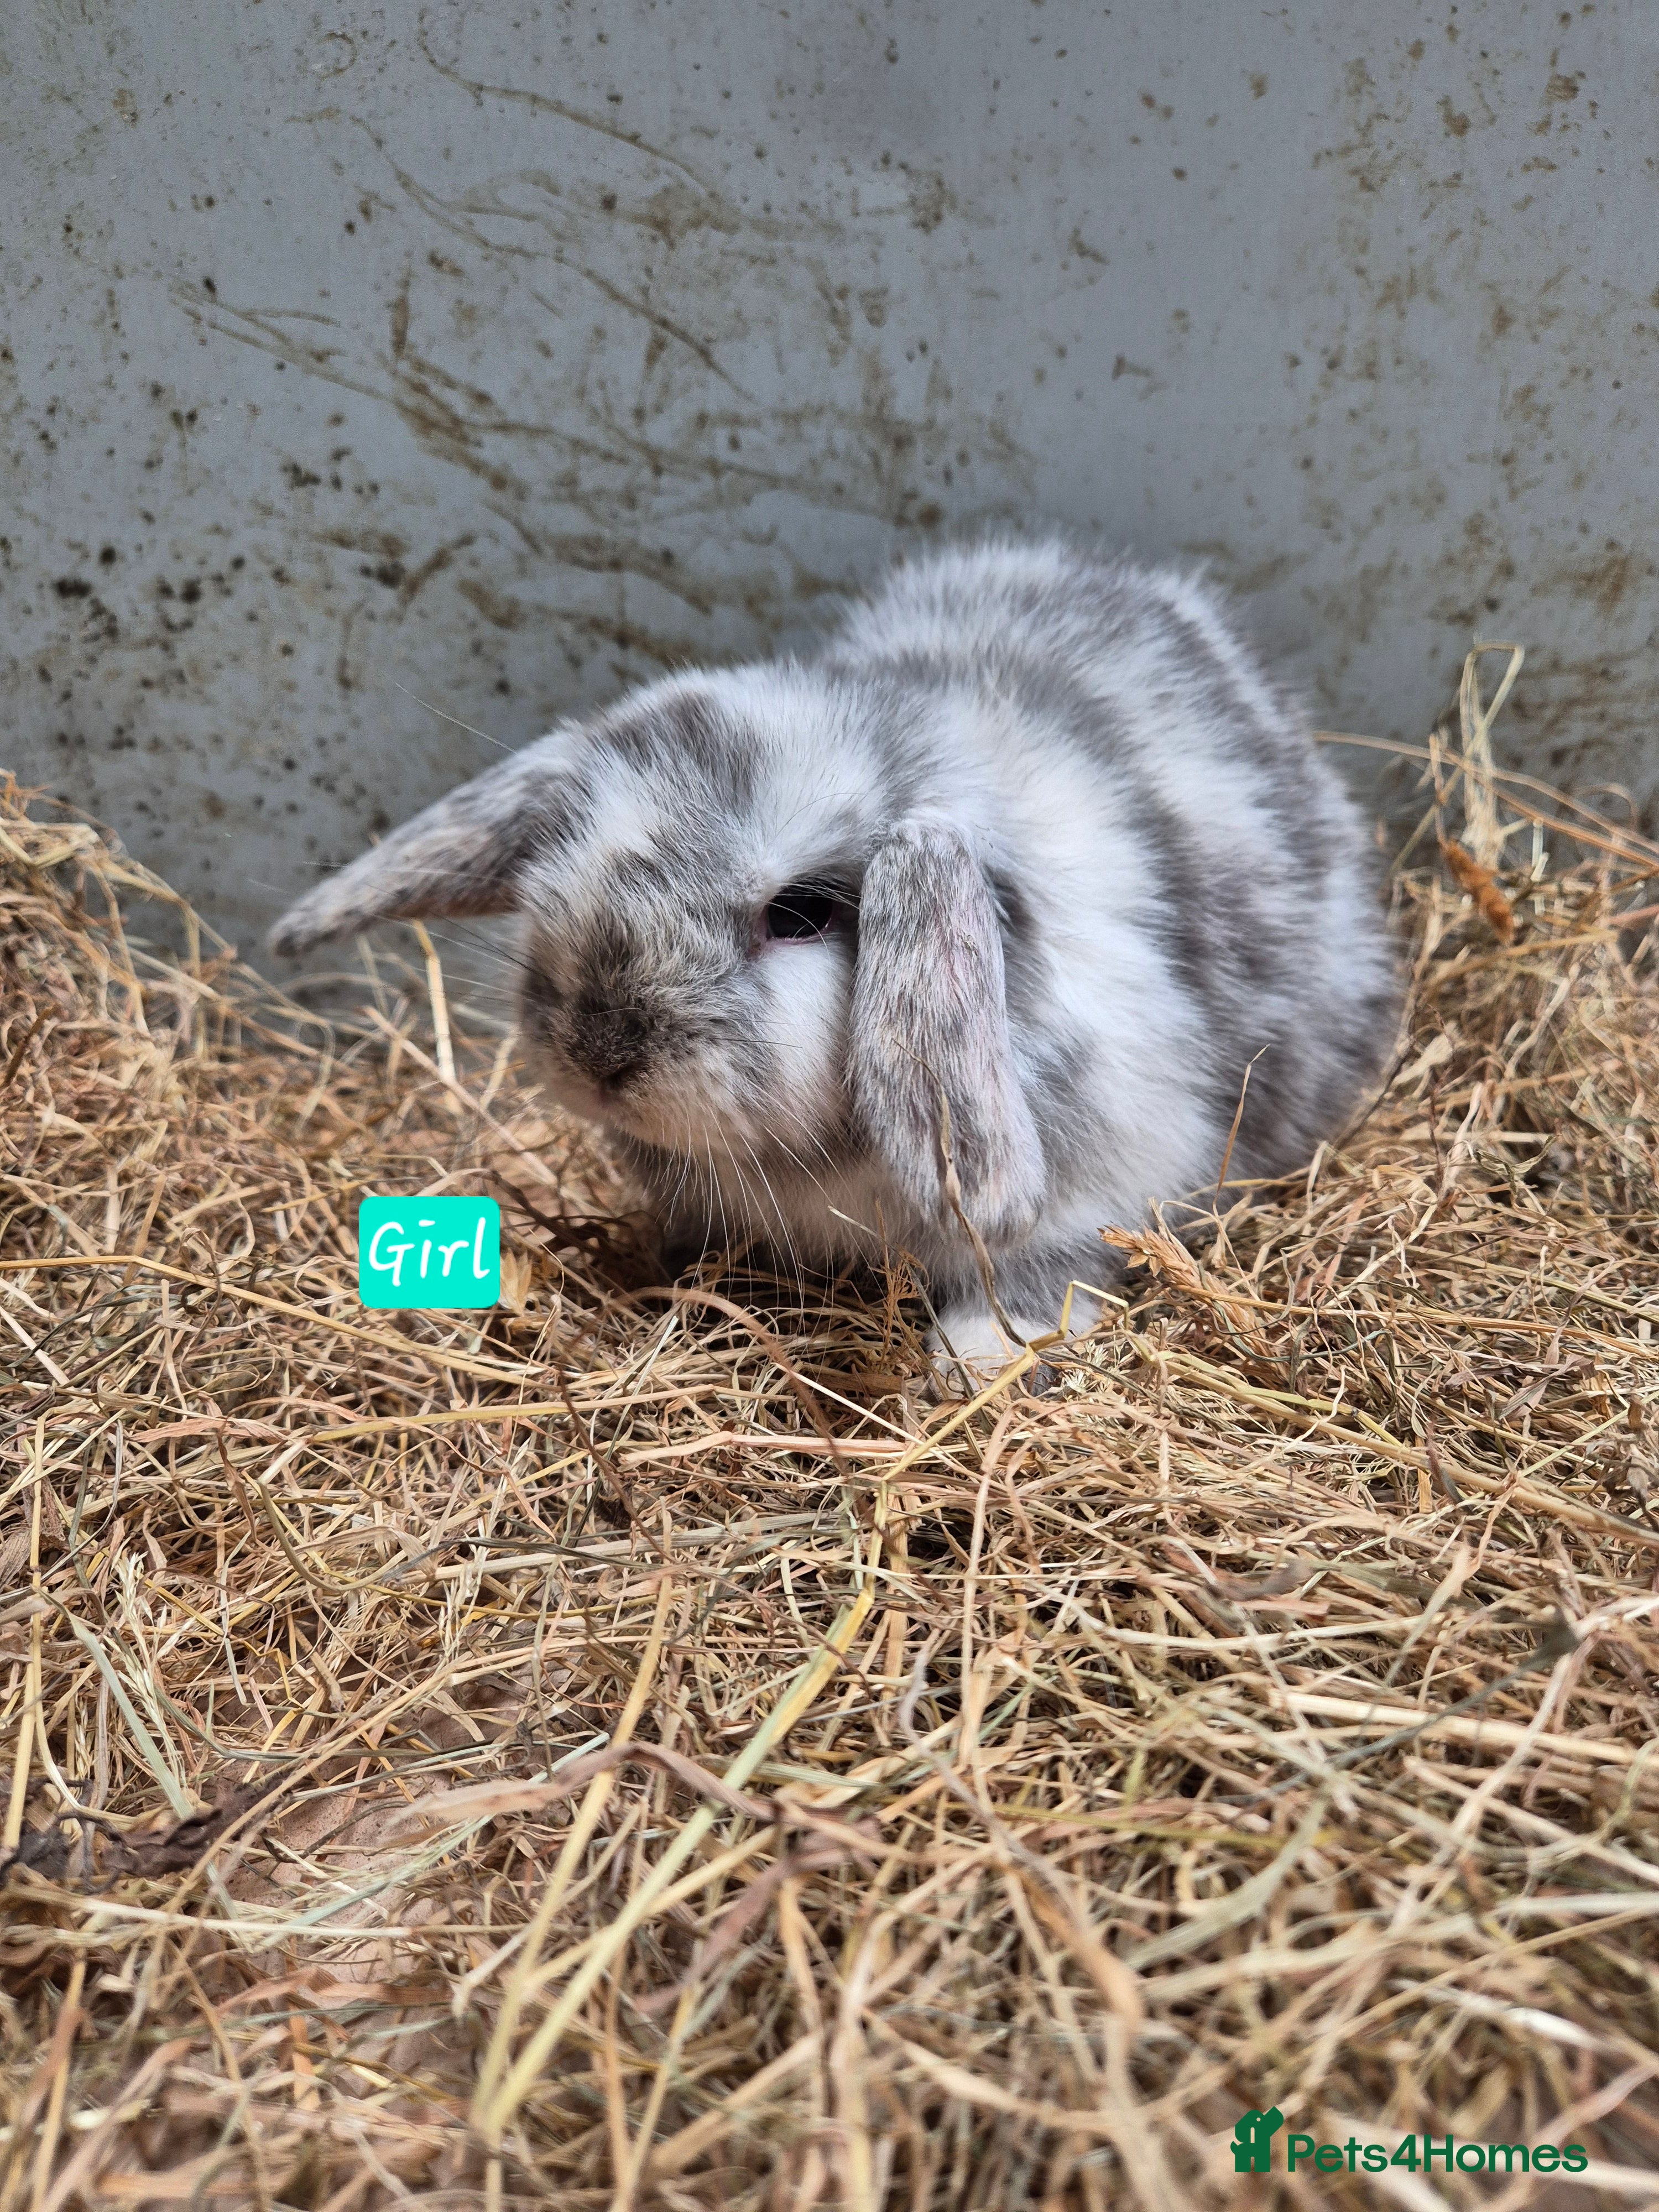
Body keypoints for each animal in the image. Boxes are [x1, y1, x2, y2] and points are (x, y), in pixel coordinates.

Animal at [271, 538, 1396, 1388]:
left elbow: (1038, 1271)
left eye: (802, 912)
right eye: (561, 863)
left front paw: (977, 1364)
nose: (598, 1053)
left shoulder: (1115, 1178)